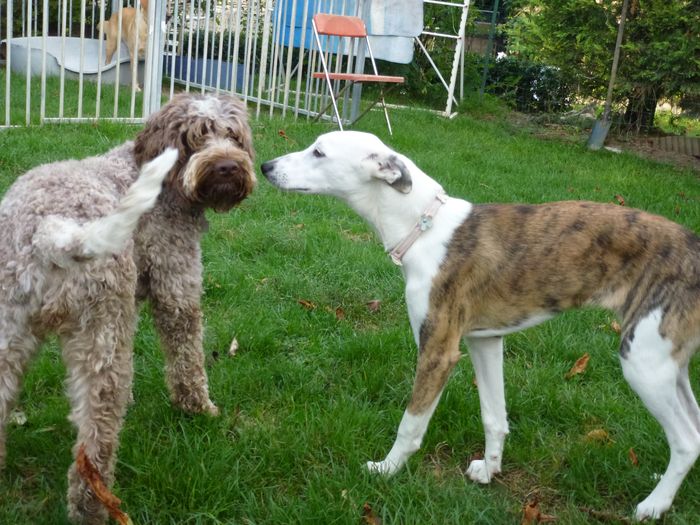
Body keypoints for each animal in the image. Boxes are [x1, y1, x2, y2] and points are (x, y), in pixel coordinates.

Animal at [0, 92, 256, 524]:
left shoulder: (131, 300)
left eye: (233, 135)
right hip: (100, 337)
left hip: (10, 335)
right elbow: (187, 357)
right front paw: (199, 409)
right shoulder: (176, 285)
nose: (226, 166)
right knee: (94, 442)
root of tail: (49, 229)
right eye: (194, 137)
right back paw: (92, 507)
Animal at [261, 131, 700, 521]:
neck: (424, 227)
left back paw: (654, 505)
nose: (265, 166)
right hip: (669, 363)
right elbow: (494, 415)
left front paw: (387, 470)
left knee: (686, 439)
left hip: (643, 361)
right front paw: (489, 470)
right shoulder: (485, 342)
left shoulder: (438, 352)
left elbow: (410, 424)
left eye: (319, 152)